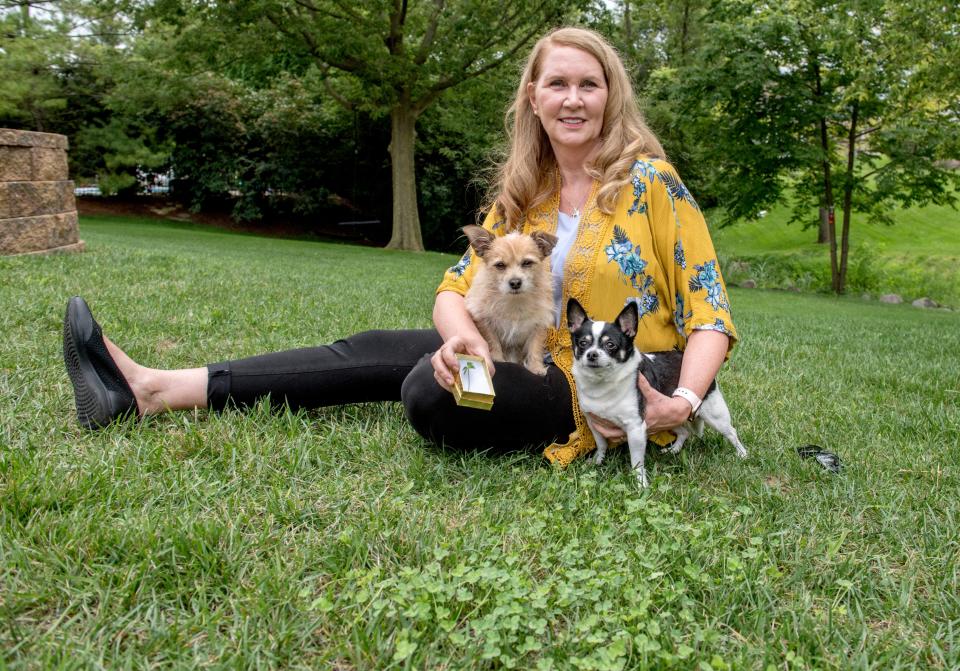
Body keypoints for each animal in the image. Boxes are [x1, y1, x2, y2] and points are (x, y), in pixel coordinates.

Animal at [464, 224, 560, 372]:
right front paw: (497, 358)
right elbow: (492, 341)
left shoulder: (538, 326)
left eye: (527, 263)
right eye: (500, 265)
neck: (514, 302)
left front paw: (536, 367)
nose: (515, 282)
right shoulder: (485, 322)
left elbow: (535, 348)